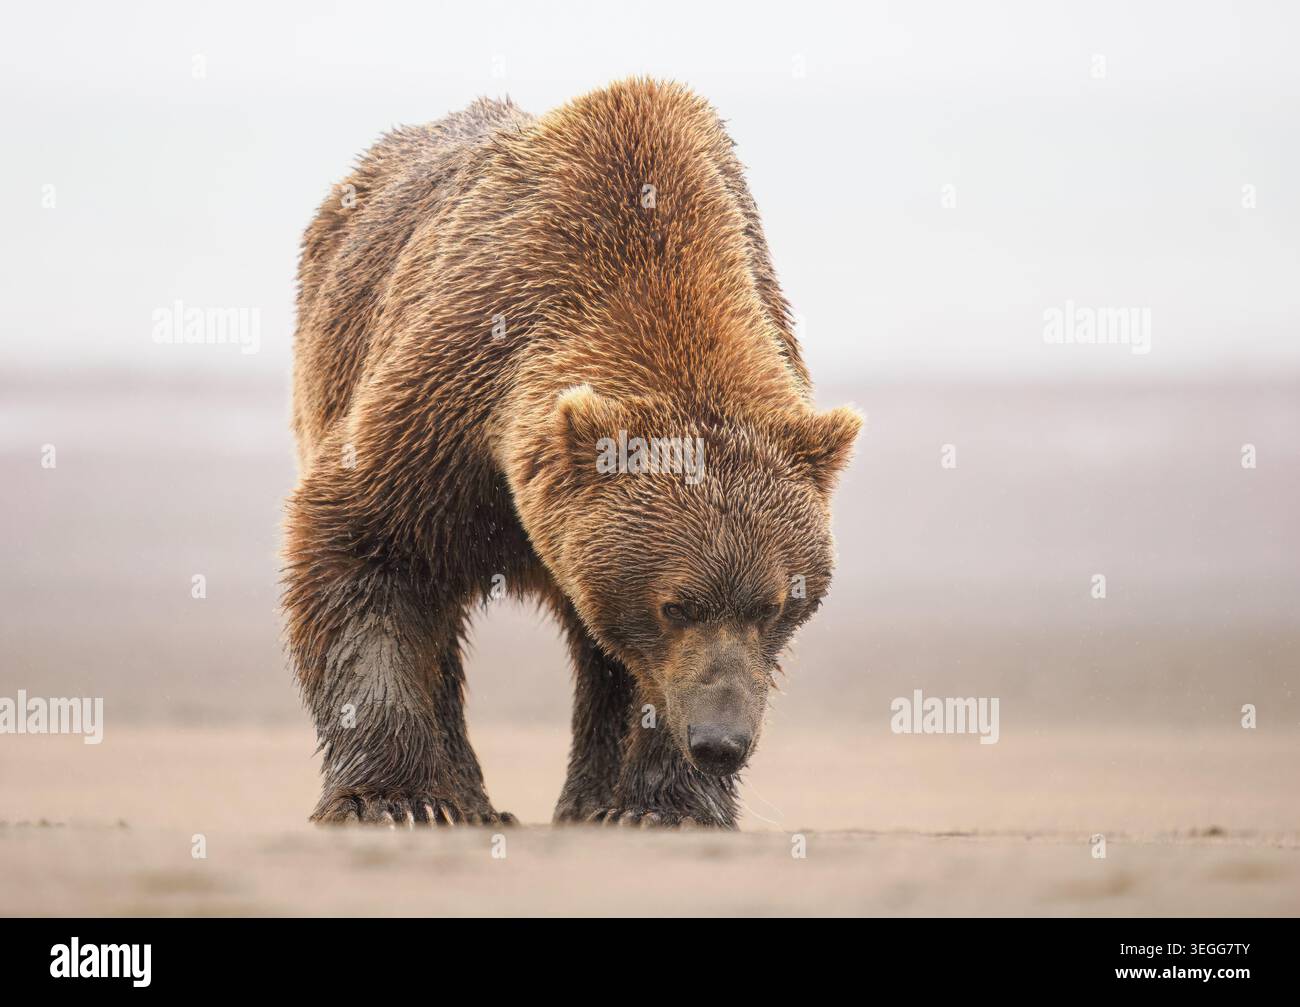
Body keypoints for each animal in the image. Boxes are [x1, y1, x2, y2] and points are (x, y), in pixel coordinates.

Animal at [284, 78, 861, 829]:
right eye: (676, 605)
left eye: (773, 604)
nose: (720, 741)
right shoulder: (451, 397)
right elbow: (365, 545)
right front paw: (397, 798)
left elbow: (638, 670)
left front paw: (657, 806)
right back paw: (469, 797)